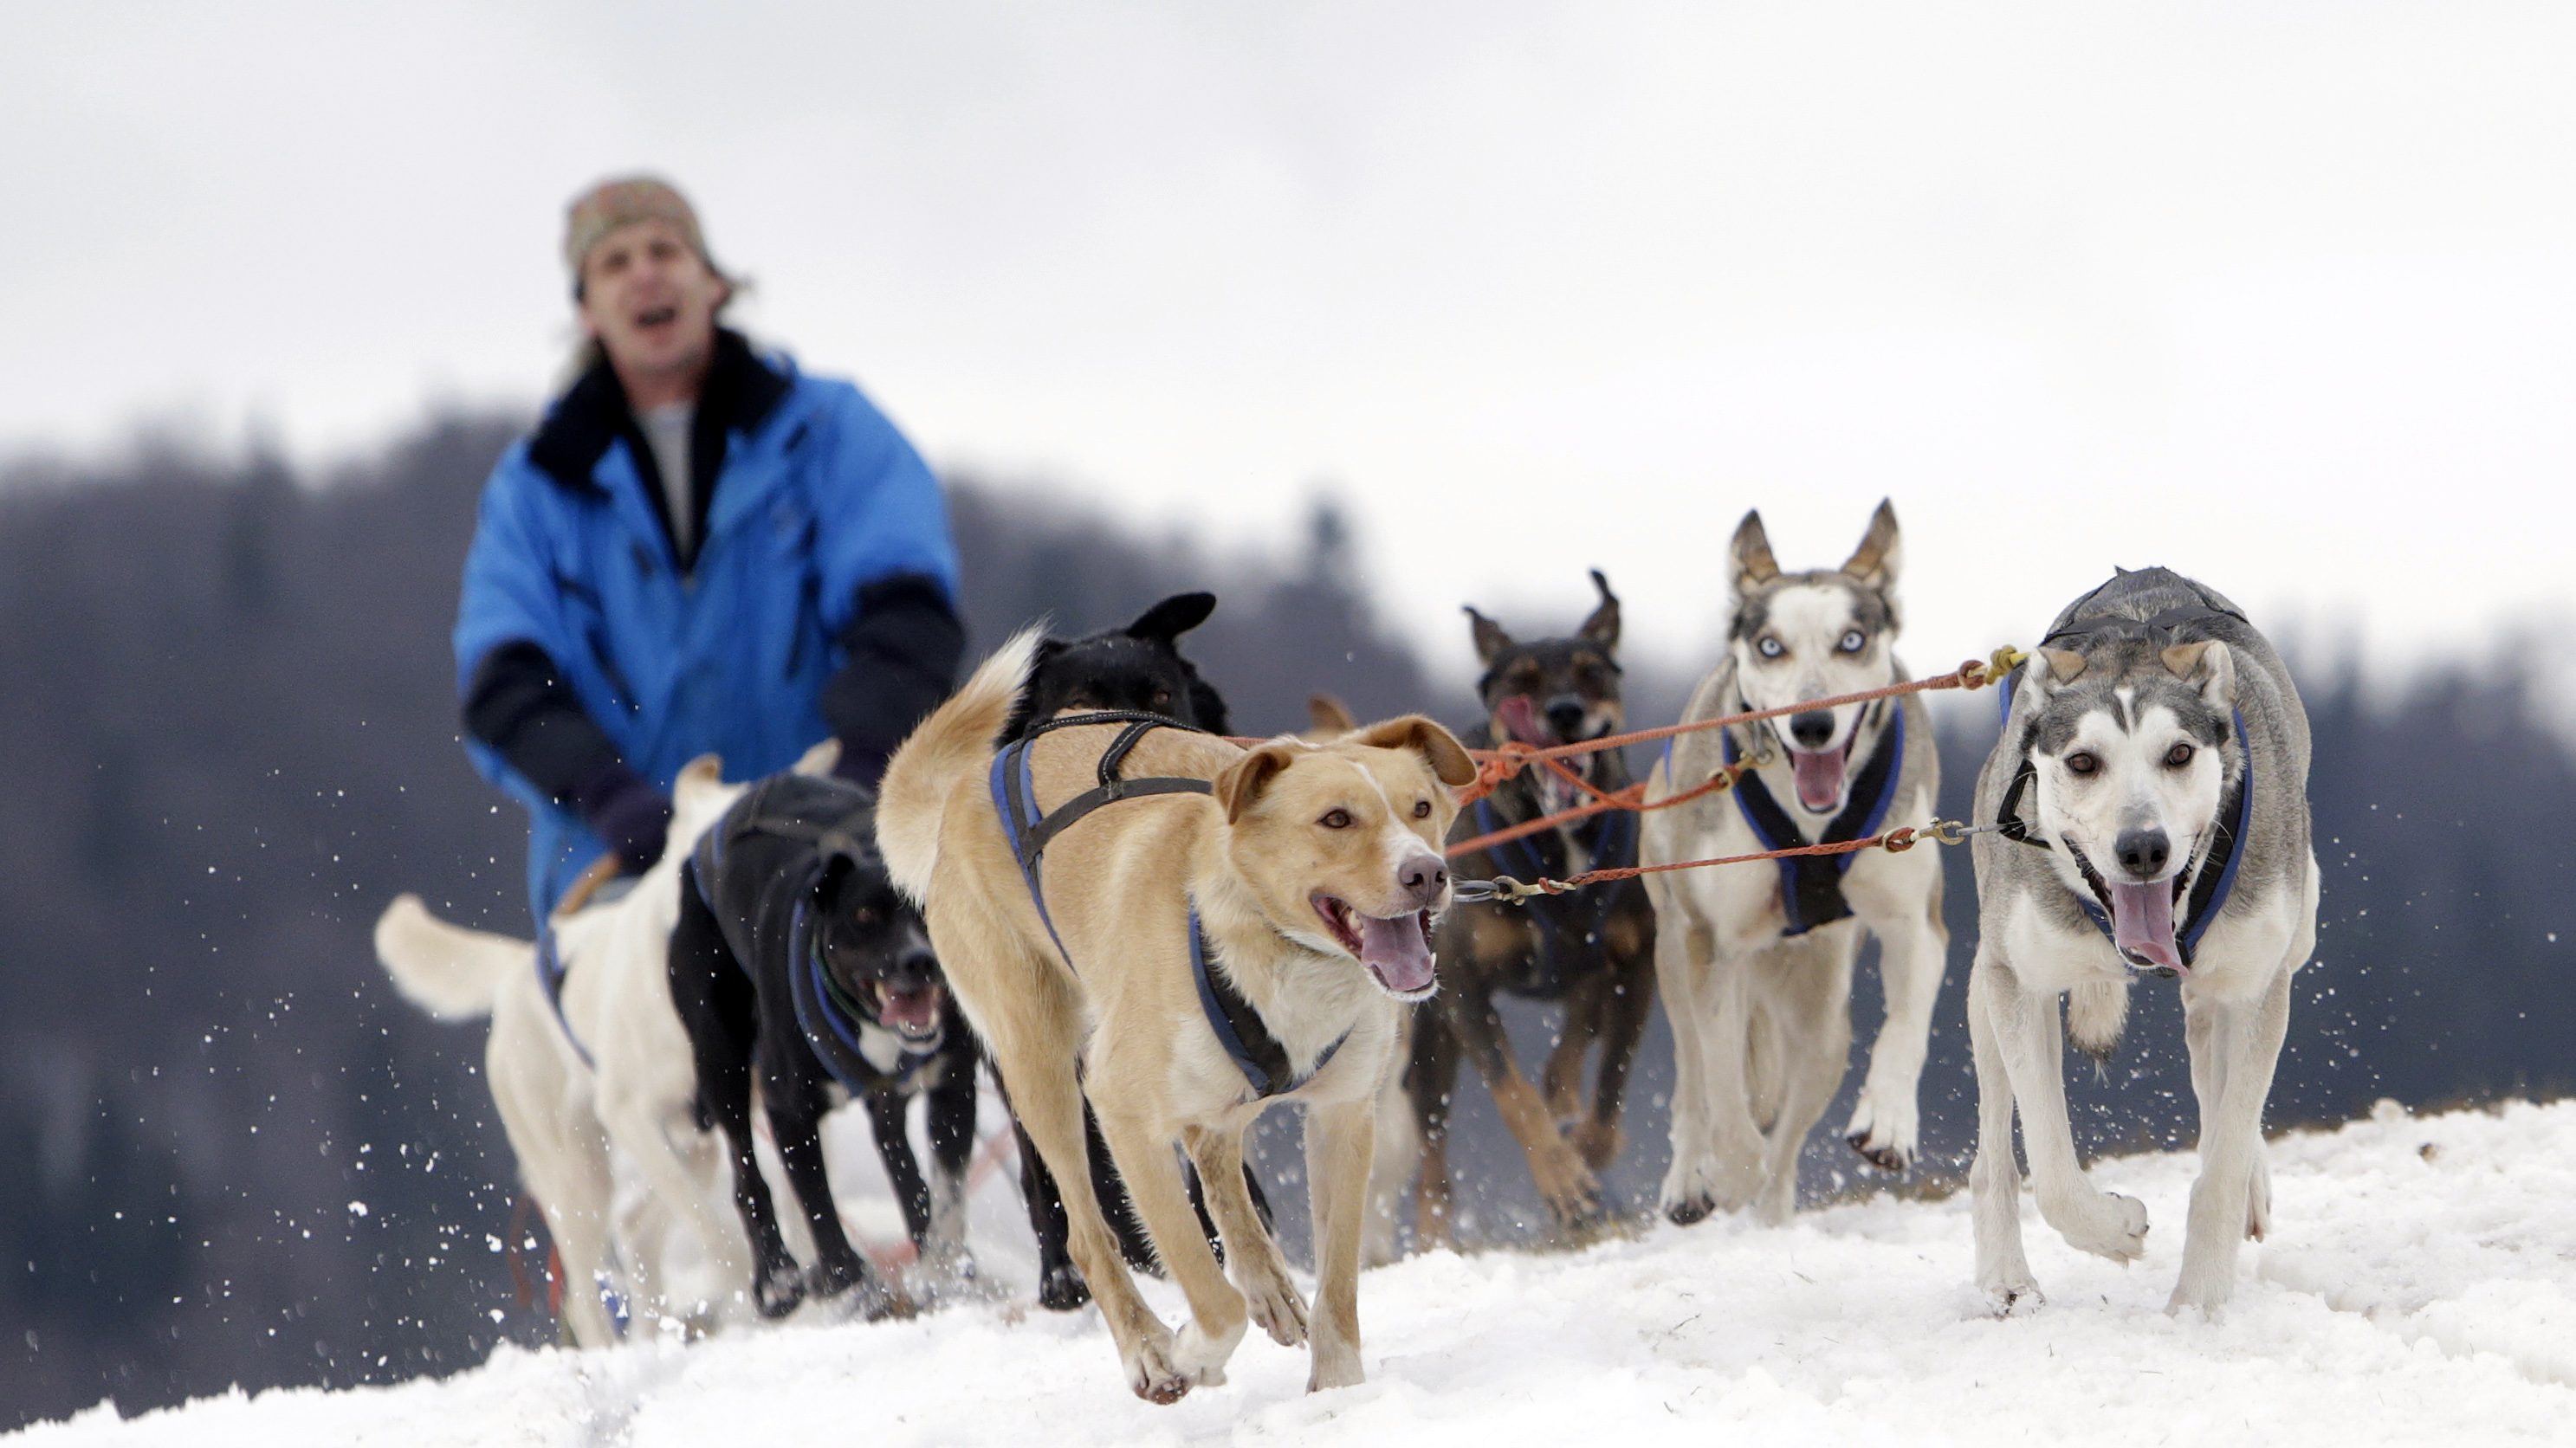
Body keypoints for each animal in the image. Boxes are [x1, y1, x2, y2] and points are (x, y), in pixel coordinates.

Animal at [675, 772, 974, 1314]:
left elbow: (948, 1194)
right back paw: (776, 1277)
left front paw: (945, 1278)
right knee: (747, 1176)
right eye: (865, 915)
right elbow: (817, 1205)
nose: (920, 960)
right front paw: (846, 1282)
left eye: (925, 906)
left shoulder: (952, 1085)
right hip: (719, 1059)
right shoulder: (786, 1108)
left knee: (898, 1158)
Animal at [876, 628, 1473, 1401]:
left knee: (1217, 1163)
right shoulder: (1123, 1113)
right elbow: (1206, 1291)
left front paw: (1339, 1392)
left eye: (1422, 807)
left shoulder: (1344, 1115)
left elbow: (1339, 1284)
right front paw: (1188, 1354)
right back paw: (1149, 1347)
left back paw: (1268, 1282)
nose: (1426, 872)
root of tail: (973, 782)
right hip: (1041, 1064)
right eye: (1337, 819)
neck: (1272, 949)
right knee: (1088, 1234)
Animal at [1638, 495, 1937, 1216]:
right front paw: (1728, 1168)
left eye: (1851, 640)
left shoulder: (1916, 917)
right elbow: (1722, 1079)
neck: (1811, 824)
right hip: (1673, 949)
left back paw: (1771, 1209)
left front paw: (1889, 1120)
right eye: (1770, 646)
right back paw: (1694, 1178)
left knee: (1798, 1113)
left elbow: (1907, 1024)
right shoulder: (1709, 943)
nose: (1812, 722)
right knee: (1695, 1074)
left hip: (1820, 1007)